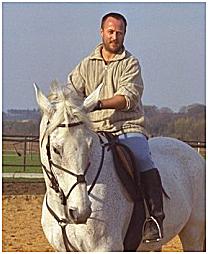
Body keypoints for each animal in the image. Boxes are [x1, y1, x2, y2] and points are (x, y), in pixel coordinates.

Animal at [34, 82, 205, 251]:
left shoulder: (106, 247)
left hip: (193, 233)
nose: (80, 212)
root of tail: (196, 156)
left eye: (90, 145)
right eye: (56, 149)